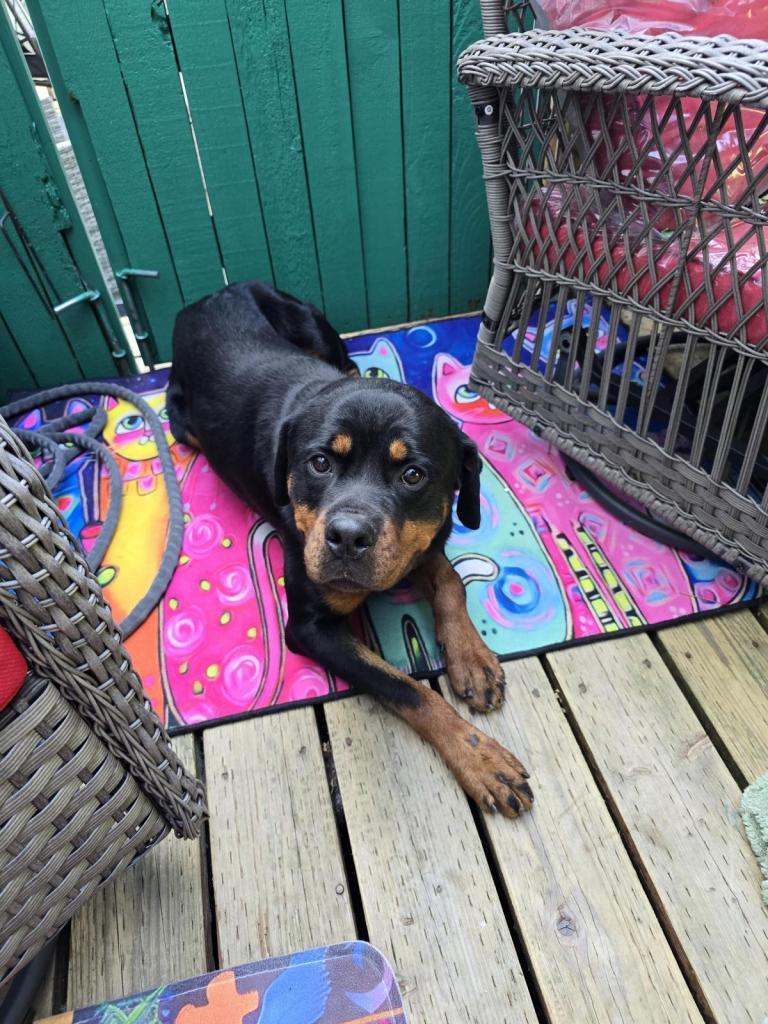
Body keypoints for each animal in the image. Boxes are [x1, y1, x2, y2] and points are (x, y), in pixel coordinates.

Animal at [167, 281, 533, 817]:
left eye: (413, 475)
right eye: (319, 463)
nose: (347, 536)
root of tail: (209, 296)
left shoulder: (422, 542)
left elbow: (450, 581)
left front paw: (472, 657)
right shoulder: (310, 628)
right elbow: (406, 688)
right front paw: (480, 757)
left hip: (311, 323)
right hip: (184, 423)